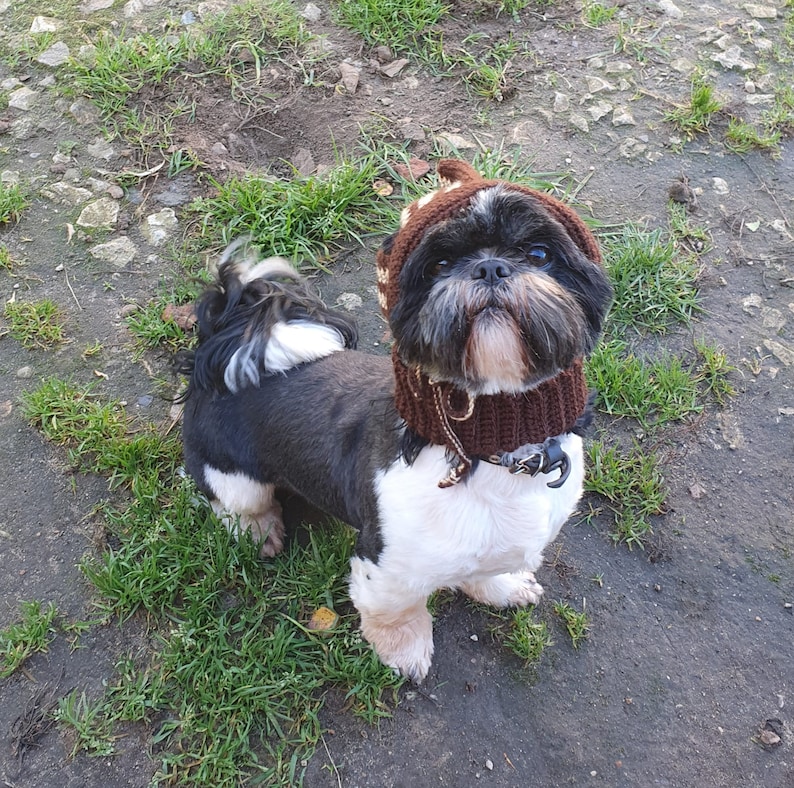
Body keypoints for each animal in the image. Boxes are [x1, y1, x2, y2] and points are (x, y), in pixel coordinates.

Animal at [181, 159, 612, 676]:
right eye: (439, 265)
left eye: (540, 253)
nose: (490, 266)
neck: (491, 452)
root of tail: (229, 340)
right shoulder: (385, 563)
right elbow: (396, 609)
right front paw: (404, 650)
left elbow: (492, 567)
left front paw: (504, 586)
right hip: (234, 475)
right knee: (236, 503)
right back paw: (260, 530)